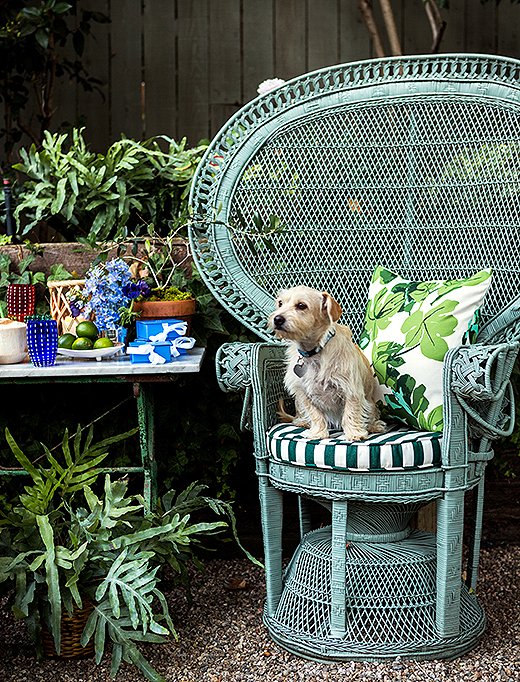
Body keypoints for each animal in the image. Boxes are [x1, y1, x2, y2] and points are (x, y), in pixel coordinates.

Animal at [268, 284, 386, 438]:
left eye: (301, 305)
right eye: (280, 303)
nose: (277, 319)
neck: (314, 351)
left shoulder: (351, 389)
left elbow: (351, 412)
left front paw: (354, 433)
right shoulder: (303, 393)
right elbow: (315, 415)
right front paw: (318, 433)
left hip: (370, 404)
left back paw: (373, 426)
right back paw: (302, 421)